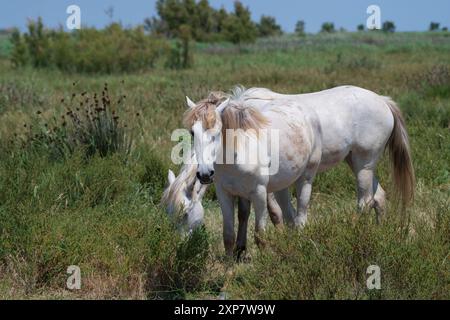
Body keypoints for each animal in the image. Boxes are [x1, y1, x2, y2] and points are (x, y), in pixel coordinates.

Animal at [185, 85, 414, 258]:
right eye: (192, 132)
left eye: (216, 133)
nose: (204, 174)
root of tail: (383, 100)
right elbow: (242, 216)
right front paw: (241, 251)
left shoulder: (263, 188)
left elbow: (273, 215)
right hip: (358, 162)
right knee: (379, 197)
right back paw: (378, 235)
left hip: (361, 164)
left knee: (364, 202)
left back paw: (354, 232)